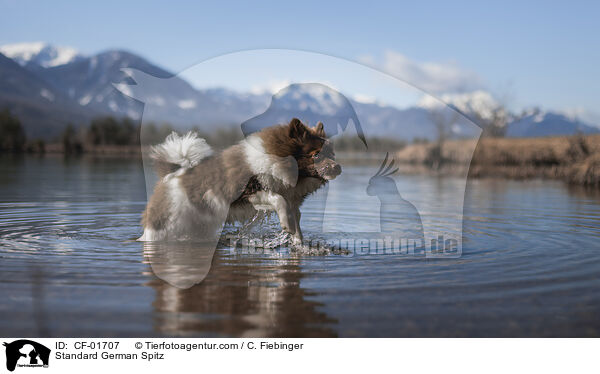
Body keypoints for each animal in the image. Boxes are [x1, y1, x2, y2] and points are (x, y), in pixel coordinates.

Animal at [138, 118, 340, 244]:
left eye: (331, 153)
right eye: (316, 155)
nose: (338, 167)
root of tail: (172, 175)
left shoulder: (292, 201)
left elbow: (296, 222)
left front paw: (299, 243)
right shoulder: (248, 193)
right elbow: (278, 199)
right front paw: (286, 225)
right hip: (164, 228)